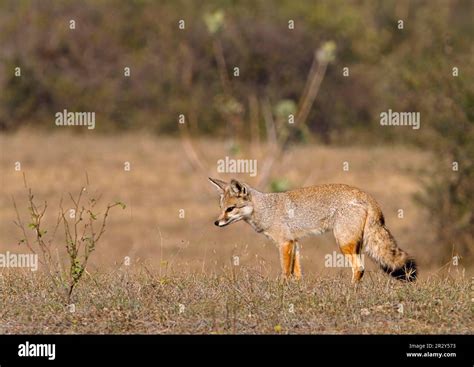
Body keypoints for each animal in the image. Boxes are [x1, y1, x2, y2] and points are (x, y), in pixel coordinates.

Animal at [209, 178, 416, 284]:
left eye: (230, 209)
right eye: (221, 208)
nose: (216, 222)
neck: (267, 209)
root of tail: (367, 195)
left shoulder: (284, 243)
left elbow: (285, 272)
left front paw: (281, 289)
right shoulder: (294, 243)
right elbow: (297, 273)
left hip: (344, 243)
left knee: (359, 268)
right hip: (354, 243)